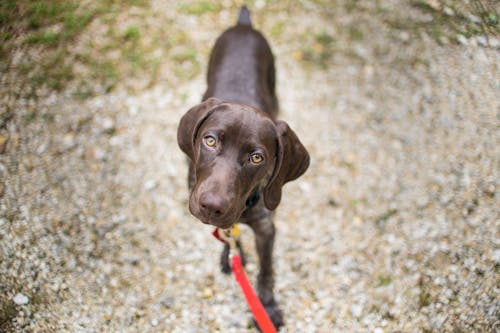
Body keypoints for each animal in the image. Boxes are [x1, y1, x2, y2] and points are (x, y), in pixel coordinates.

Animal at [176, 5, 308, 330]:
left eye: (257, 158)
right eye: (210, 140)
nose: (212, 205)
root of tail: (244, 24)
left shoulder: (266, 227)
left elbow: (266, 271)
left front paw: (268, 308)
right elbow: (224, 234)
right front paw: (229, 255)